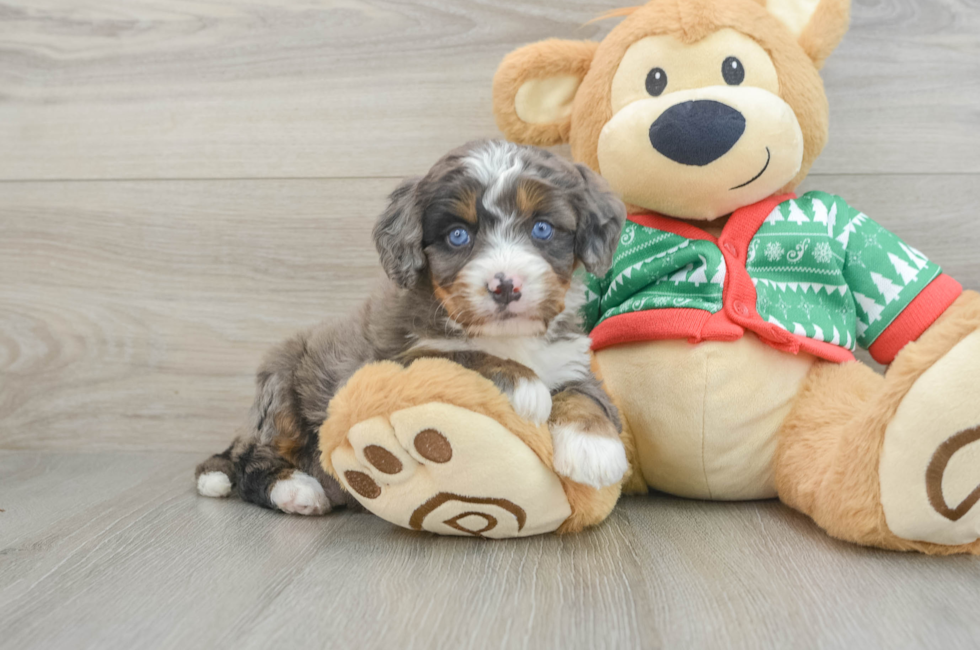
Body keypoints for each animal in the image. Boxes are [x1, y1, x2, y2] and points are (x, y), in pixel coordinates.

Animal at [195, 139, 632, 512]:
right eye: (458, 235)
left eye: (542, 228)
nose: (505, 286)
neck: (506, 336)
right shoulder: (392, 362)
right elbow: (457, 355)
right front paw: (522, 383)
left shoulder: (567, 357)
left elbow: (587, 396)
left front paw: (595, 448)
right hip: (282, 385)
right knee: (251, 458)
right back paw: (296, 490)